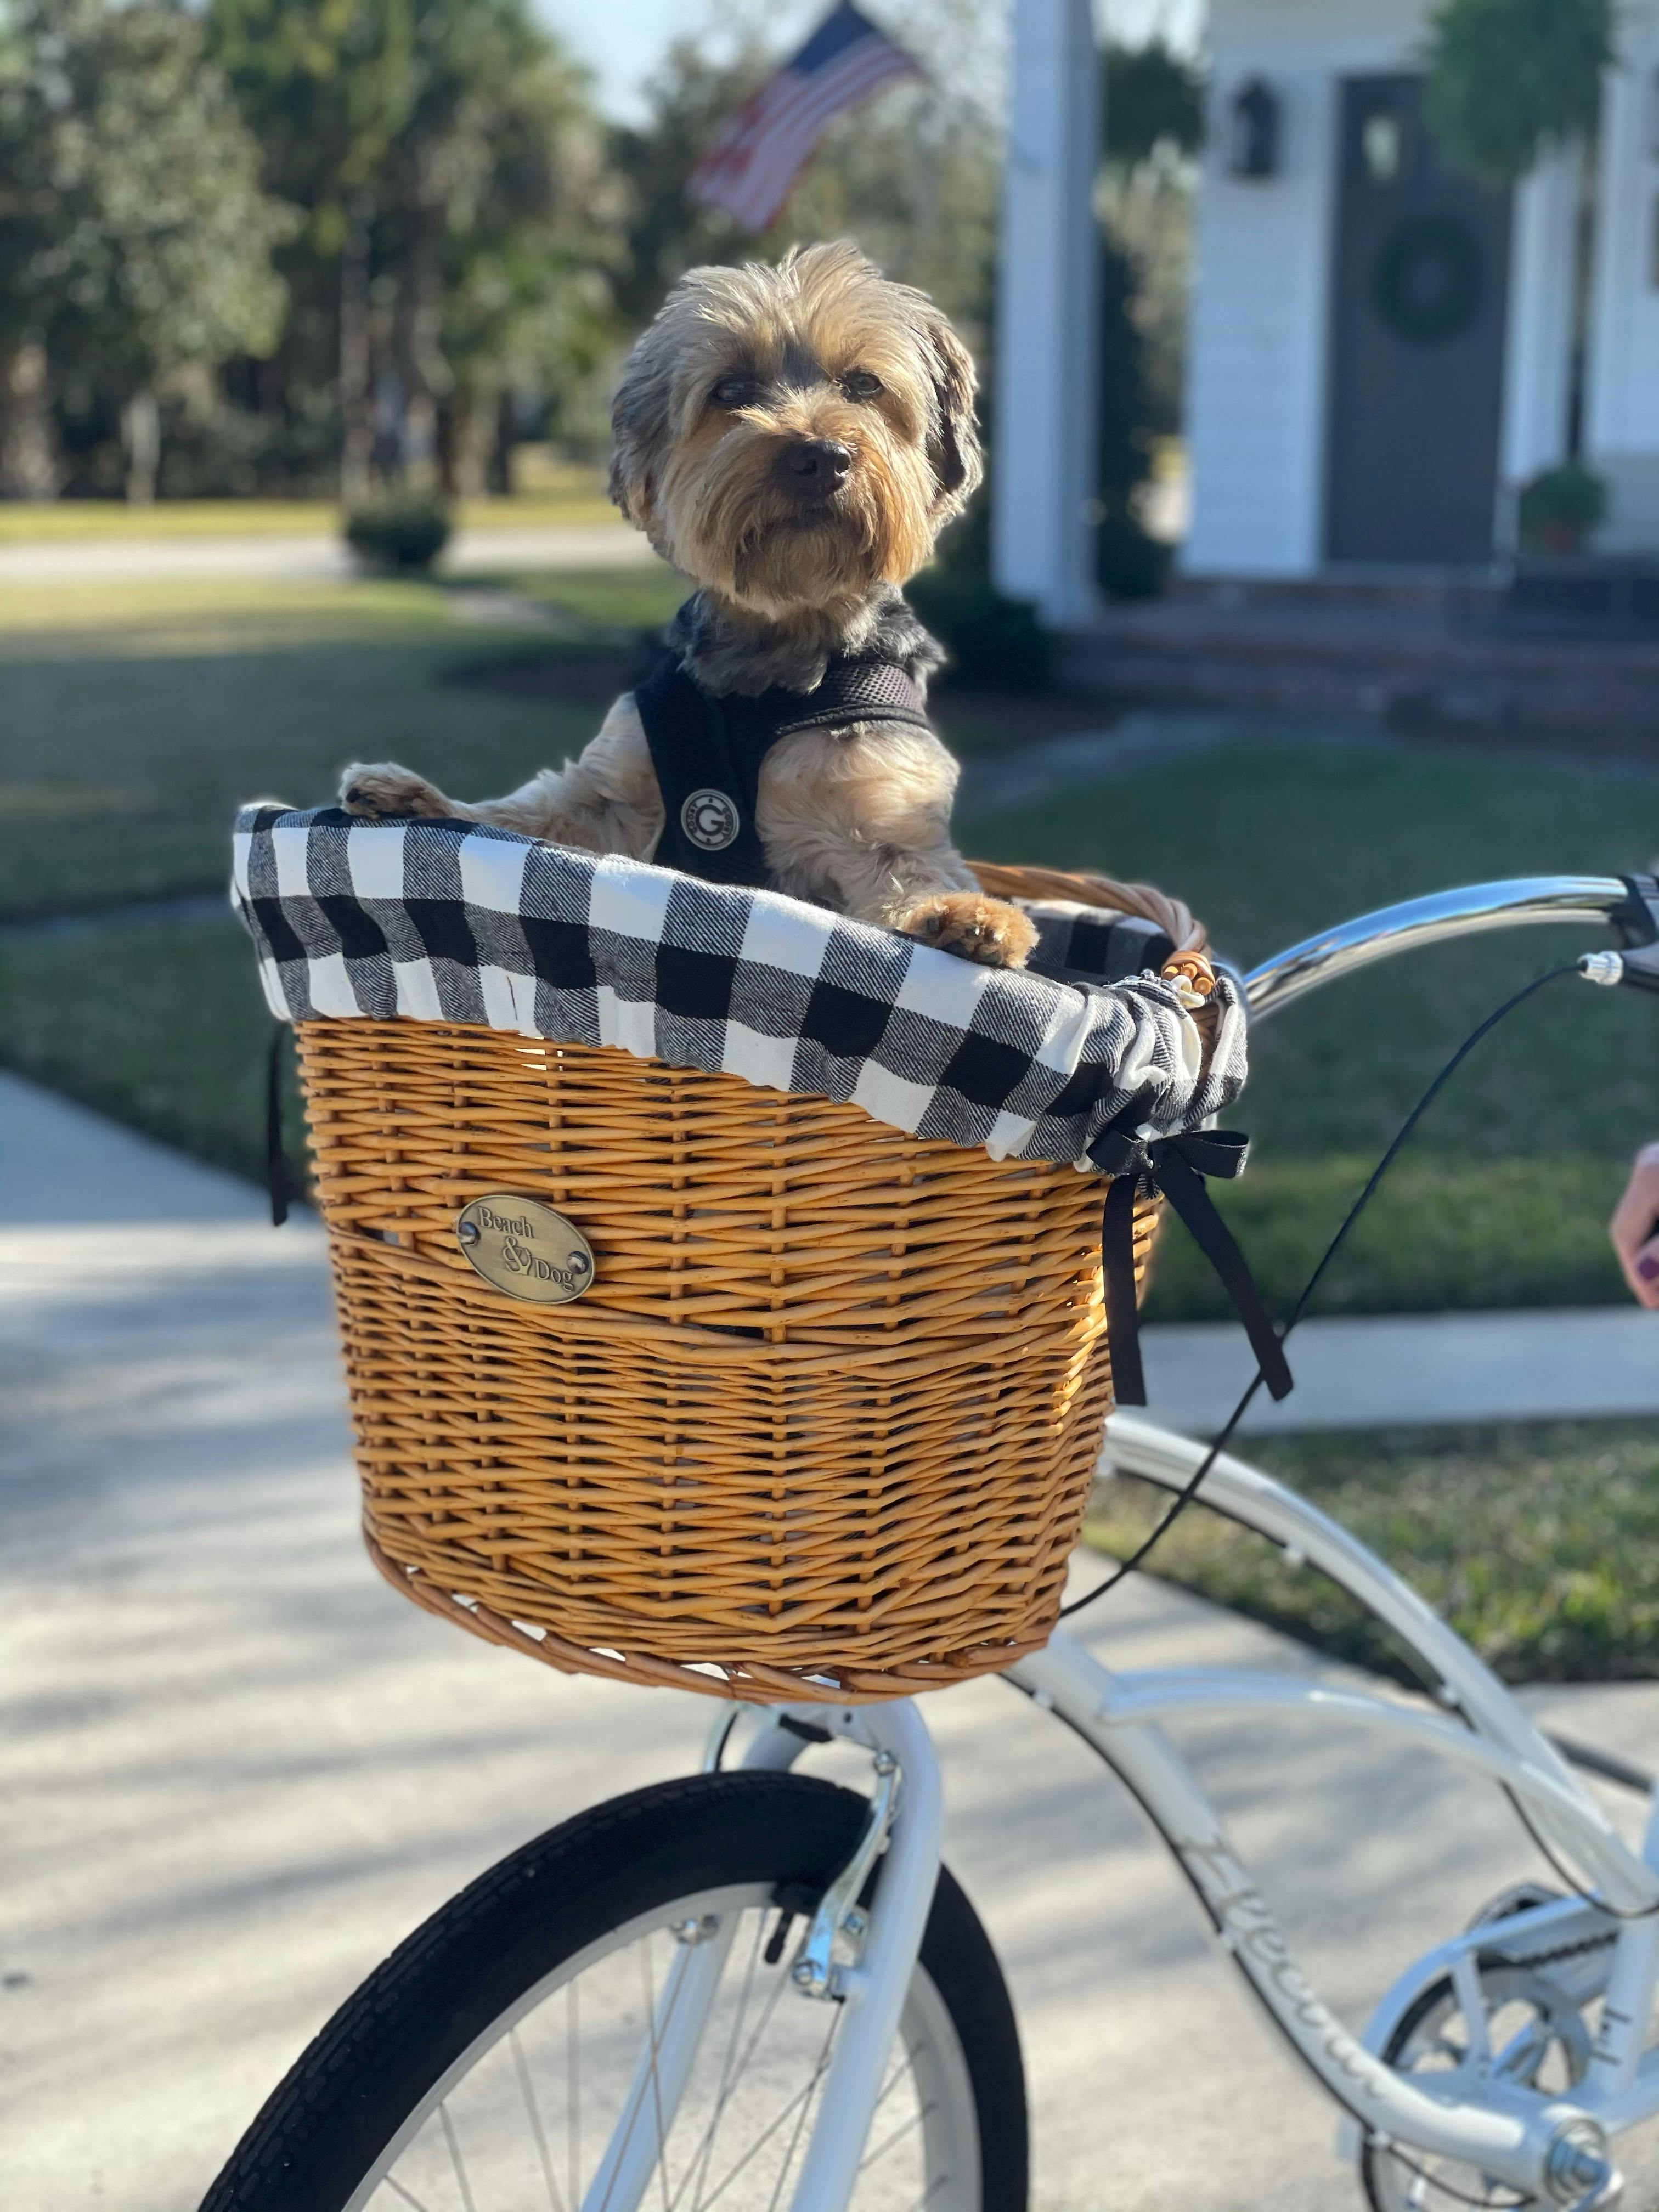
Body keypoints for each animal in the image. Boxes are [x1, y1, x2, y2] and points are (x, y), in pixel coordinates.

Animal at [338, 242, 1040, 969]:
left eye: (865, 385)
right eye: (730, 391)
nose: (820, 456)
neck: (776, 646)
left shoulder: (882, 806)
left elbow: (913, 868)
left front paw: (971, 916)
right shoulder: (617, 795)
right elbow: (531, 817)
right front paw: (420, 797)